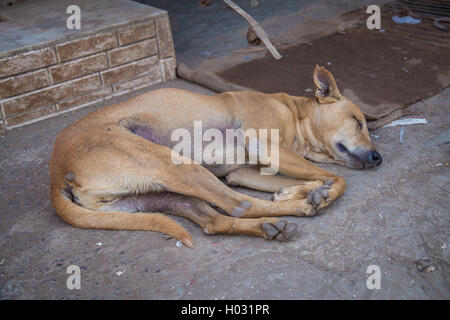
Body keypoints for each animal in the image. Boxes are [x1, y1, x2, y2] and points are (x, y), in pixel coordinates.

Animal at [50, 64, 380, 245]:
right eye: (357, 121)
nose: (378, 158)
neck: (294, 113)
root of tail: (56, 174)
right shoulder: (266, 145)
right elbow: (338, 178)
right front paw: (319, 193)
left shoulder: (243, 171)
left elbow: (308, 178)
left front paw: (298, 191)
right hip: (177, 167)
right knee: (240, 205)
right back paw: (297, 210)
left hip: (160, 196)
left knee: (215, 220)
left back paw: (272, 224)